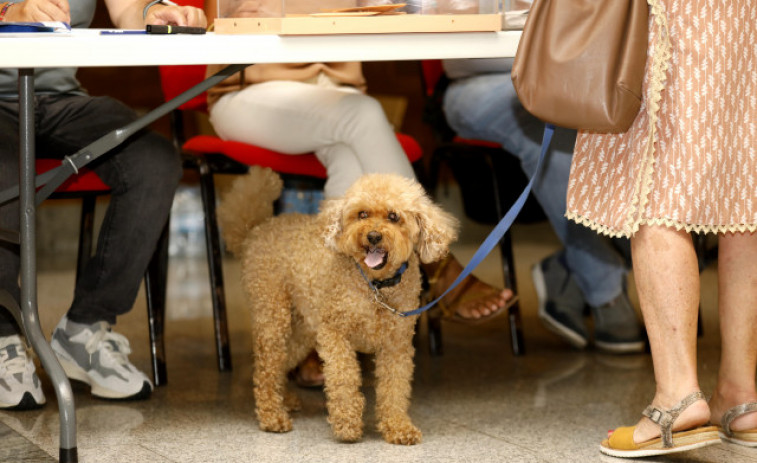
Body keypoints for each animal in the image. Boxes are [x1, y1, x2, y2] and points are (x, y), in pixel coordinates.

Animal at [216, 168, 458, 446]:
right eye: (362, 214)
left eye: (393, 216)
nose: (373, 236)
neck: (375, 286)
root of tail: (255, 229)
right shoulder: (335, 334)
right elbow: (344, 378)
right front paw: (347, 425)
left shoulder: (396, 345)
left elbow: (395, 387)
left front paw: (398, 427)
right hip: (272, 316)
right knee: (266, 369)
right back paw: (272, 416)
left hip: (302, 329)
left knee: (283, 361)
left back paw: (285, 399)